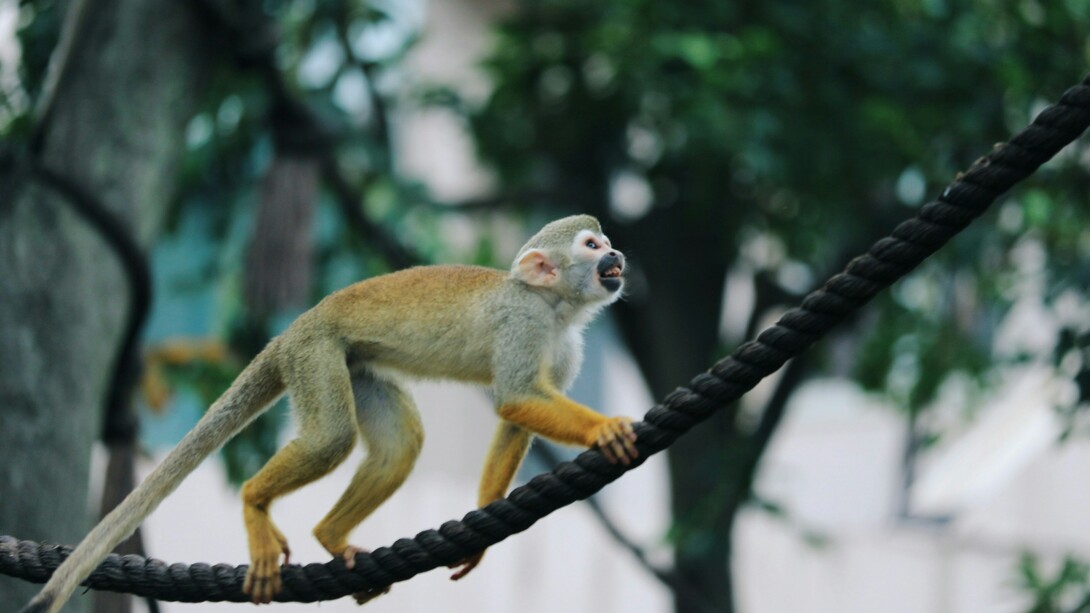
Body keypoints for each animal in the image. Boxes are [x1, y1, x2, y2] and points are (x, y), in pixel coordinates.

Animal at [23, 214, 638, 612]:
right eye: (591, 244)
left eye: (606, 241)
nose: (616, 256)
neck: (553, 307)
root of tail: (291, 329)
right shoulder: (522, 321)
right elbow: (514, 397)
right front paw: (605, 428)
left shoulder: (565, 344)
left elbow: (516, 413)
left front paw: (481, 527)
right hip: (314, 353)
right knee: (332, 439)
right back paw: (255, 501)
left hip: (352, 361)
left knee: (400, 441)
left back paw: (331, 534)